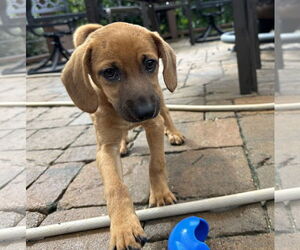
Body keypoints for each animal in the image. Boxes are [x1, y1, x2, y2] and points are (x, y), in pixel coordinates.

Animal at [61, 22, 185, 249]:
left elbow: (156, 164)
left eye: (150, 63)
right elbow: (115, 187)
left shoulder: (154, 125)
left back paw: (173, 133)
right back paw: (124, 144)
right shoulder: (104, 149)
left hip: (160, 98)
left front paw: (160, 194)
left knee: (166, 113)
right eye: (109, 72)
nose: (146, 111)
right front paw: (124, 227)